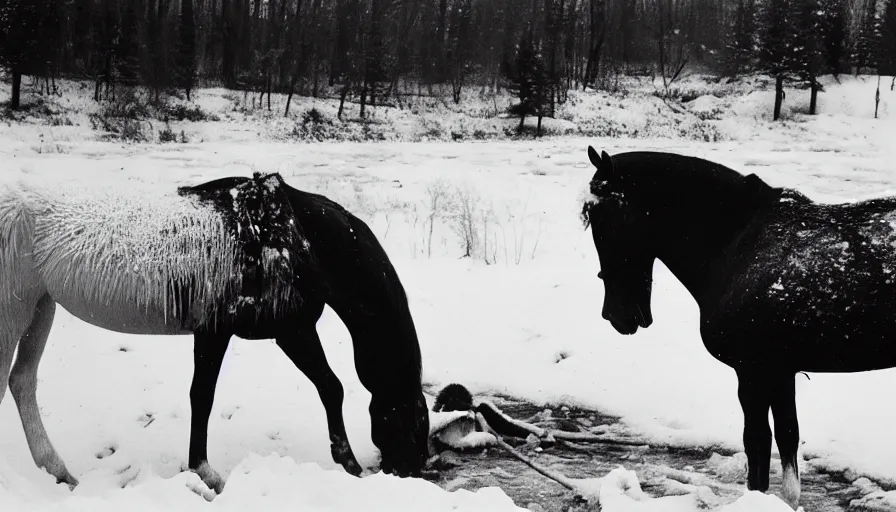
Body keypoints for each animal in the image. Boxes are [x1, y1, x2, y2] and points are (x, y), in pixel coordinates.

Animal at [0, 173, 430, 496]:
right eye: (411, 424)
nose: (409, 472)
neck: (296, 239)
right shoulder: (279, 332)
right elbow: (325, 388)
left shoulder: (260, 332)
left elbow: (207, 395)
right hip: (14, 312)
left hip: (41, 308)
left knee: (22, 382)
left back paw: (57, 470)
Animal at [576, 147, 892, 508]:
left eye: (601, 217)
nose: (616, 315)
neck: (737, 244)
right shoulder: (780, 372)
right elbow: (787, 439)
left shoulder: (752, 372)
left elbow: (757, 444)